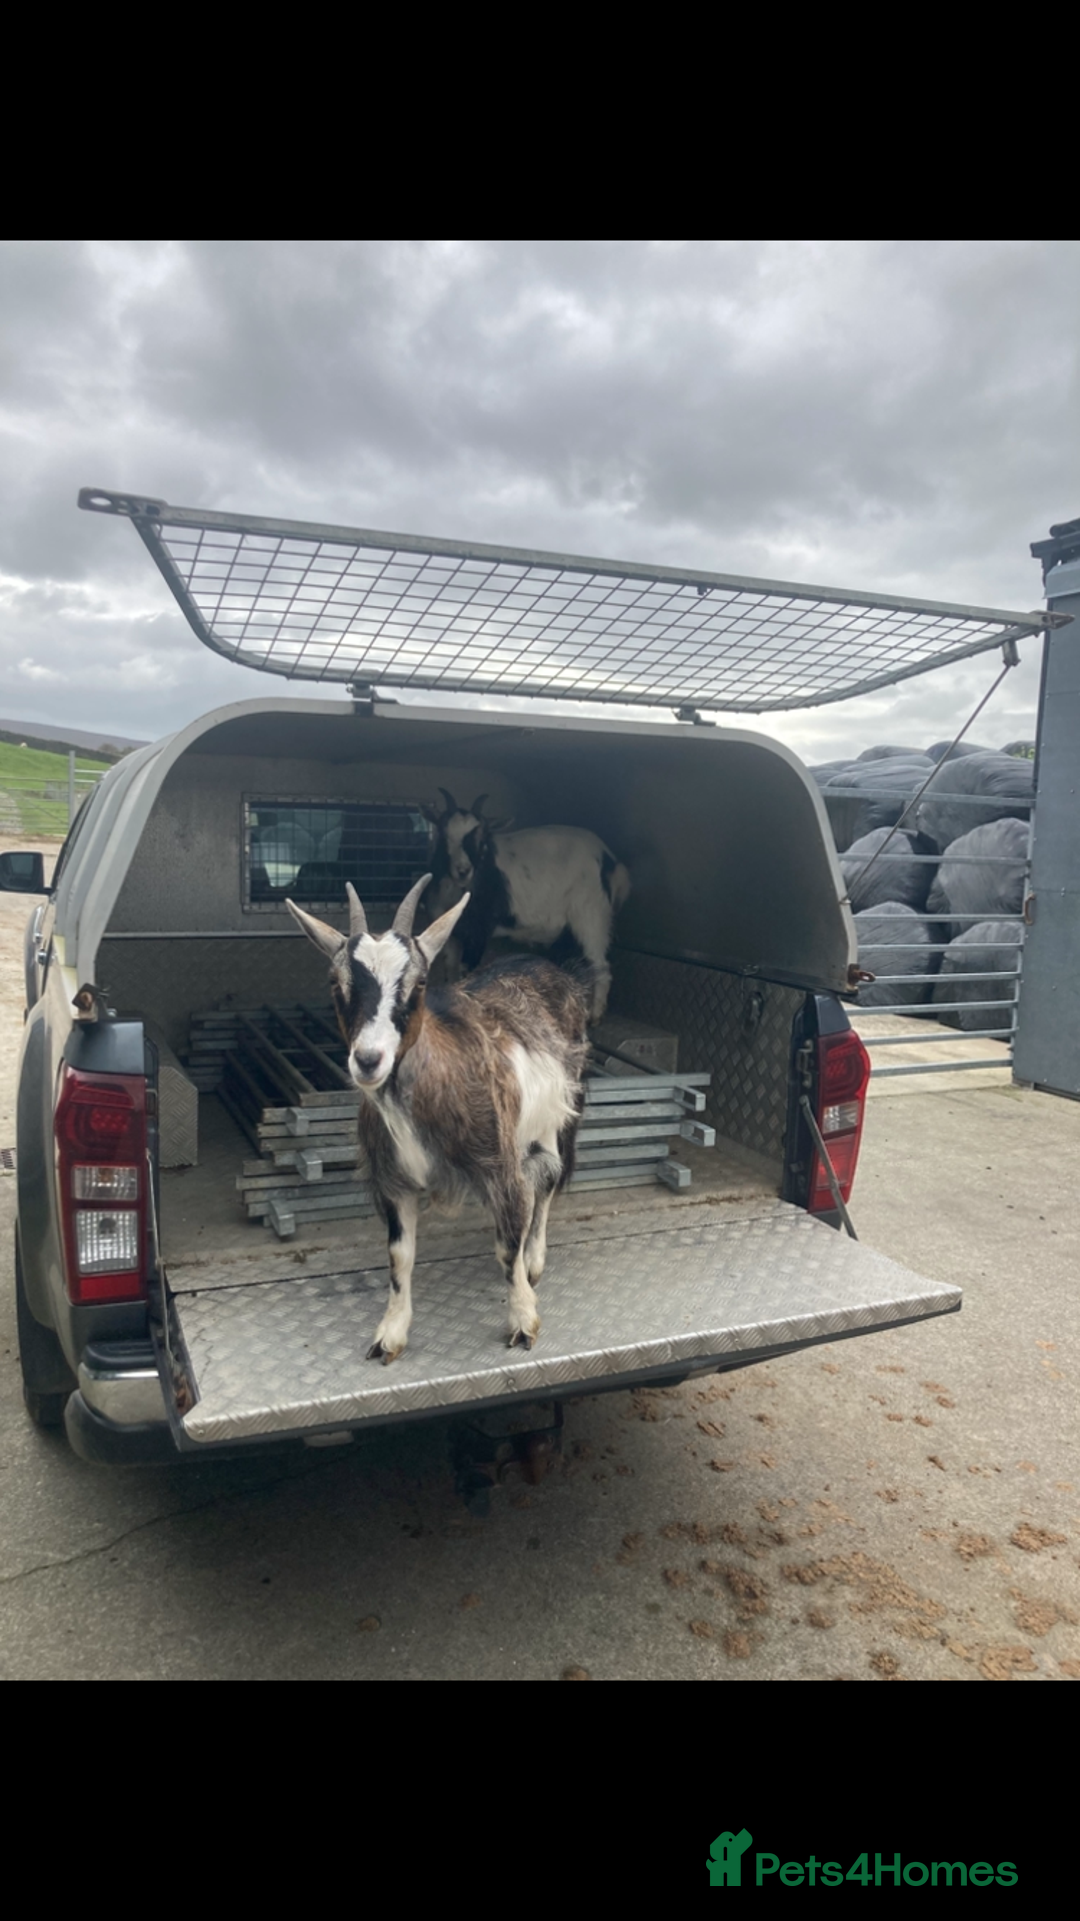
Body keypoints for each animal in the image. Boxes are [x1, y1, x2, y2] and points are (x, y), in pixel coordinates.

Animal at [287, 874, 590, 1364]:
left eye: (420, 982)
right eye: (336, 982)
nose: (368, 1060)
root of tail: (549, 968)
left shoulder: (498, 1167)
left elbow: (507, 1246)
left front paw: (523, 1319)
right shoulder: (393, 1181)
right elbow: (399, 1256)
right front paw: (389, 1335)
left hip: (560, 1112)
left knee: (547, 1179)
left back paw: (535, 1259)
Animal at [422, 789, 630, 1022]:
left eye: (483, 838)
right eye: (443, 834)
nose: (463, 871)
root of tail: (610, 860)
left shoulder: (479, 931)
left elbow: (467, 973)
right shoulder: (451, 934)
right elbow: (451, 971)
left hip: (591, 913)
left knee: (600, 965)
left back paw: (594, 1016)